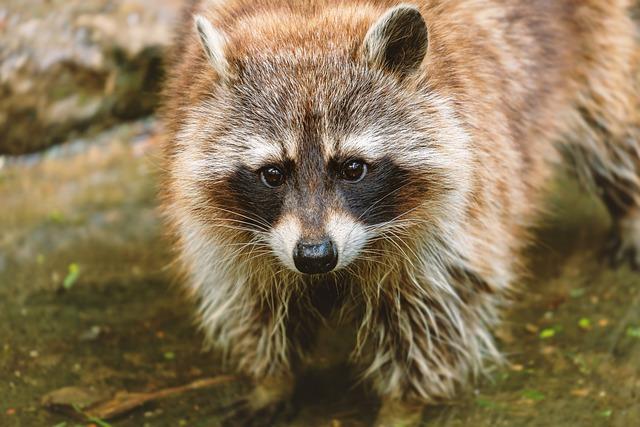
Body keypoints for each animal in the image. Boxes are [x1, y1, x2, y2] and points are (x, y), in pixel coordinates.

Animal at [161, 0, 640, 426]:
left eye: (353, 168)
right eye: (273, 174)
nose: (315, 257)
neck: (310, 19)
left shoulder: (461, 209)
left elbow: (433, 312)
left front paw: (402, 407)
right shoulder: (231, 231)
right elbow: (255, 301)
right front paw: (272, 379)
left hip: (592, 38)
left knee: (609, 122)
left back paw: (629, 206)